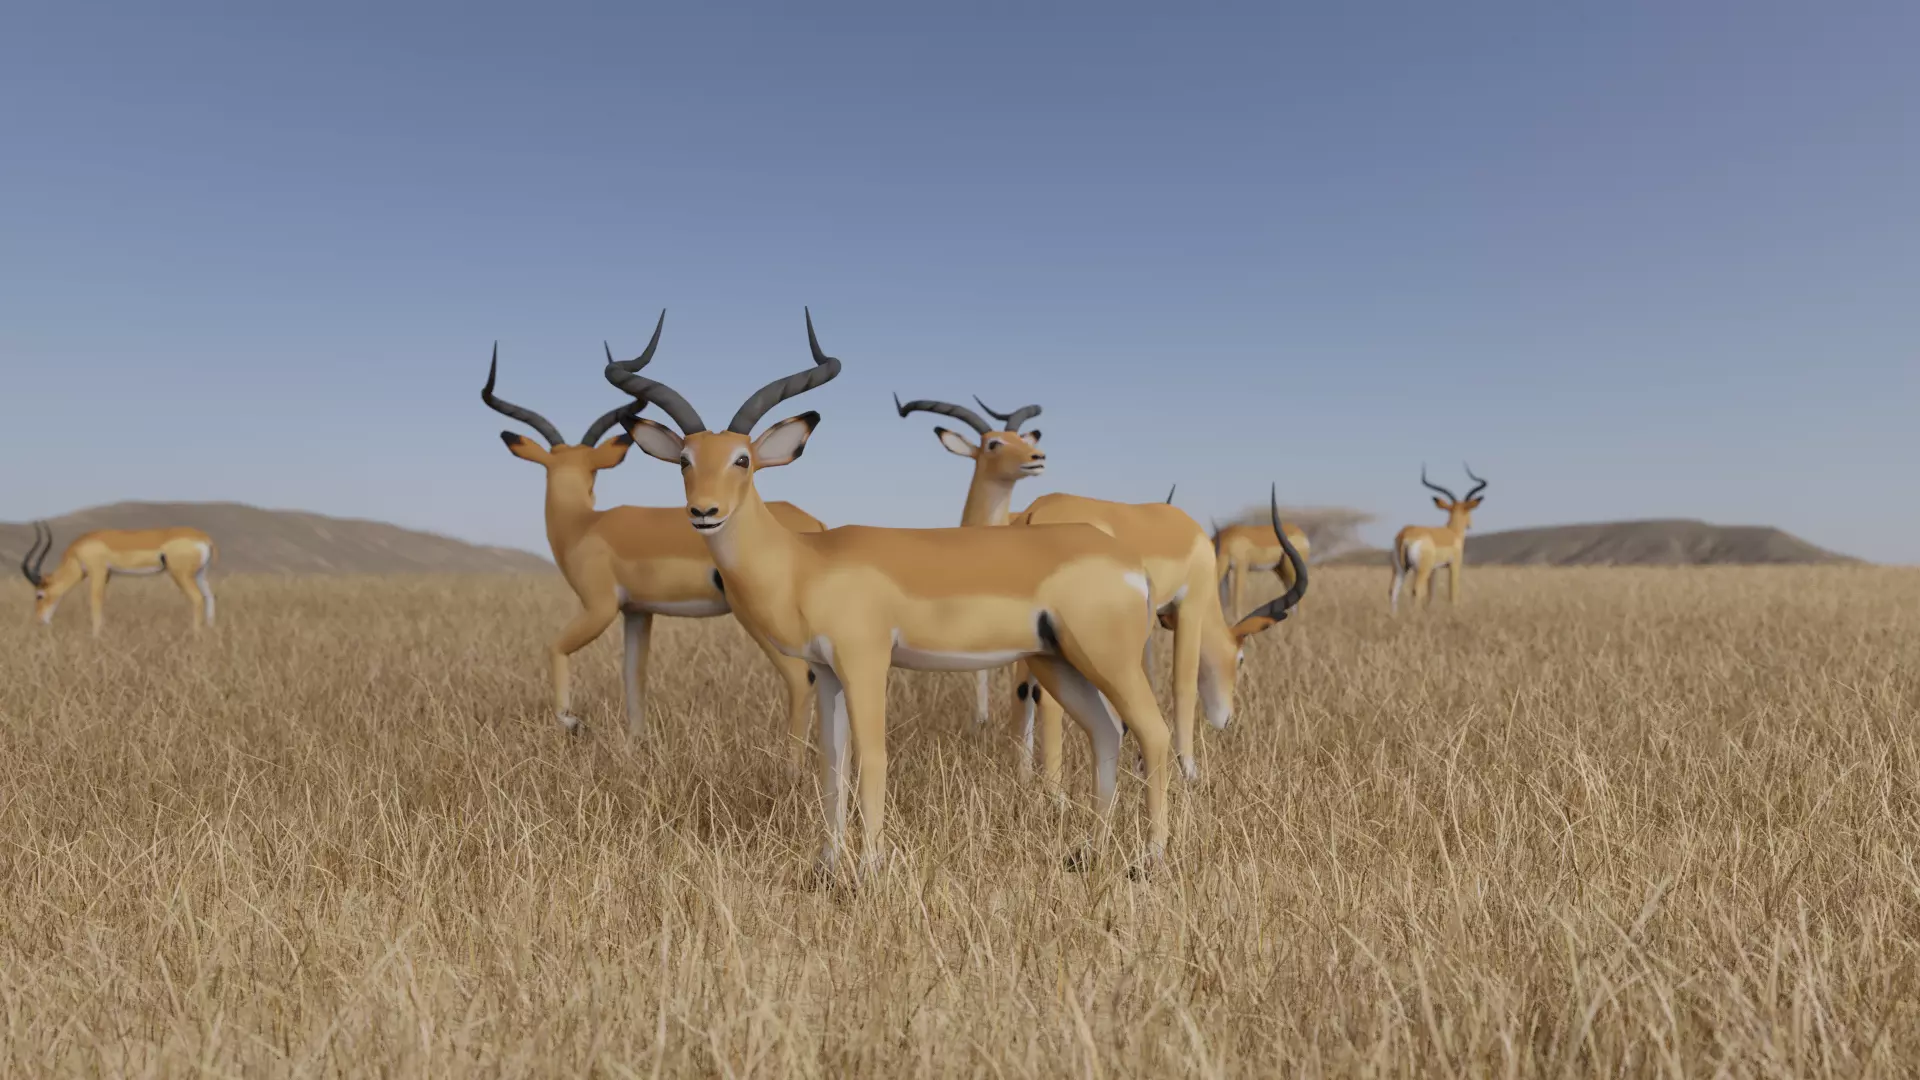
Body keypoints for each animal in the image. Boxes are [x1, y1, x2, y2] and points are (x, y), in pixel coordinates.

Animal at [19, 522, 216, 634]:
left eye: (39, 595)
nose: (40, 621)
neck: (78, 551)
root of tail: (205, 538)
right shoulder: (107, 574)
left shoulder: (98, 571)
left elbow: (95, 602)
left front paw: (96, 637)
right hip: (200, 574)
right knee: (209, 598)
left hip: (181, 575)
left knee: (197, 599)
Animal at [482, 320, 825, 761]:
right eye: (683, 460)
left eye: (742, 459)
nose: (703, 511)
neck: (584, 525)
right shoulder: (637, 613)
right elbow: (633, 677)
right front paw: (633, 746)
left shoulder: (600, 607)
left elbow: (554, 647)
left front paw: (573, 723)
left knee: (802, 677)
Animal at [1015, 489, 1307, 786]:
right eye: (1241, 660)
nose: (1226, 720)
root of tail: (1035, 513)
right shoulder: (1190, 607)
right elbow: (1183, 683)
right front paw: (1190, 772)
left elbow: (1149, 676)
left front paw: (1140, 763)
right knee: (1046, 698)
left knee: (1024, 690)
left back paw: (1024, 779)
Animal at [1390, 464, 1489, 613]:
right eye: (1468, 510)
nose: (1470, 524)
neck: (1452, 533)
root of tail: (1406, 534)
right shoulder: (1454, 564)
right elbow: (1453, 593)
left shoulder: (1434, 570)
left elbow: (1430, 594)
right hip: (1421, 570)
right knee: (1416, 590)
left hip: (1400, 568)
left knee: (1393, 591)